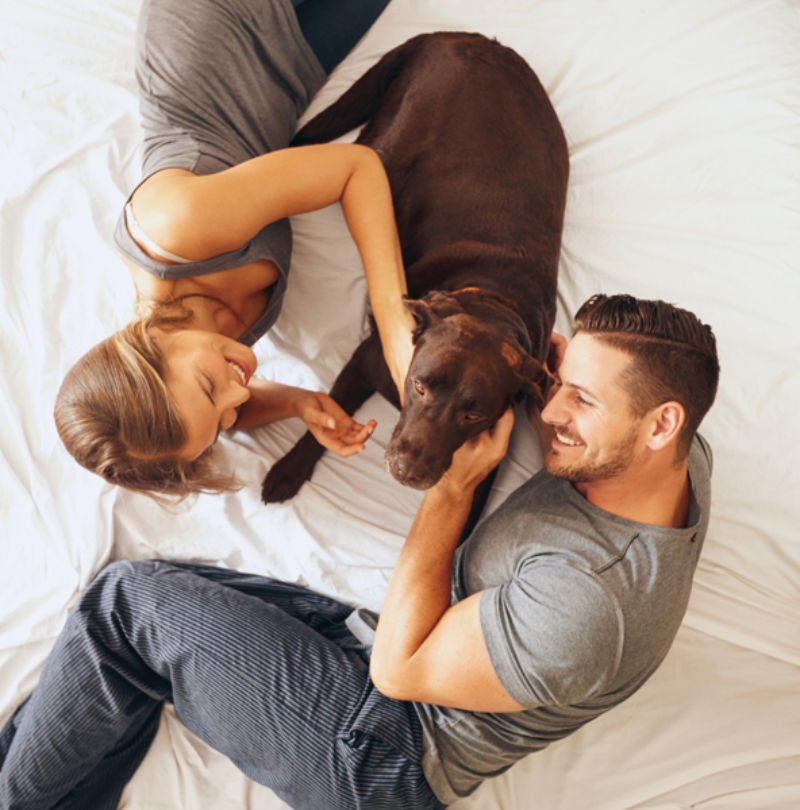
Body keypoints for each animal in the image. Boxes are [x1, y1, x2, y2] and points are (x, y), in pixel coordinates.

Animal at [262, 36, 568, 504]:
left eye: (474, 414)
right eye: (420, 387)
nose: (407, 472)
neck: (494, 299)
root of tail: (463, 36)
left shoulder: (486, 467)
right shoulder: (364, 359)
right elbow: (331, 413)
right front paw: (289, 470)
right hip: (381, 150)